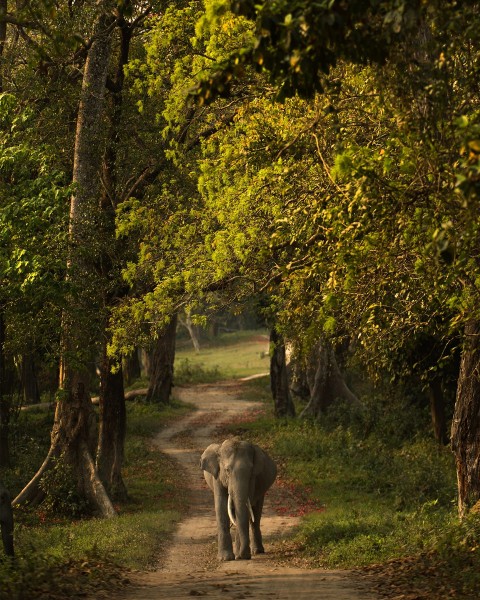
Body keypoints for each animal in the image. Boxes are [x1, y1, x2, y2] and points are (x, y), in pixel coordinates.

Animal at [200, 436, 276, 564]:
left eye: (250, 471)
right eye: (227, 470)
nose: (245, 556)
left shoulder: (253, 479)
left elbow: (245, 507)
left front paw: (239, 556)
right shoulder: (217, 476)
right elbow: (221, 506)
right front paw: (225, 558)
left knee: (256, 514)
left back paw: (257, 551)